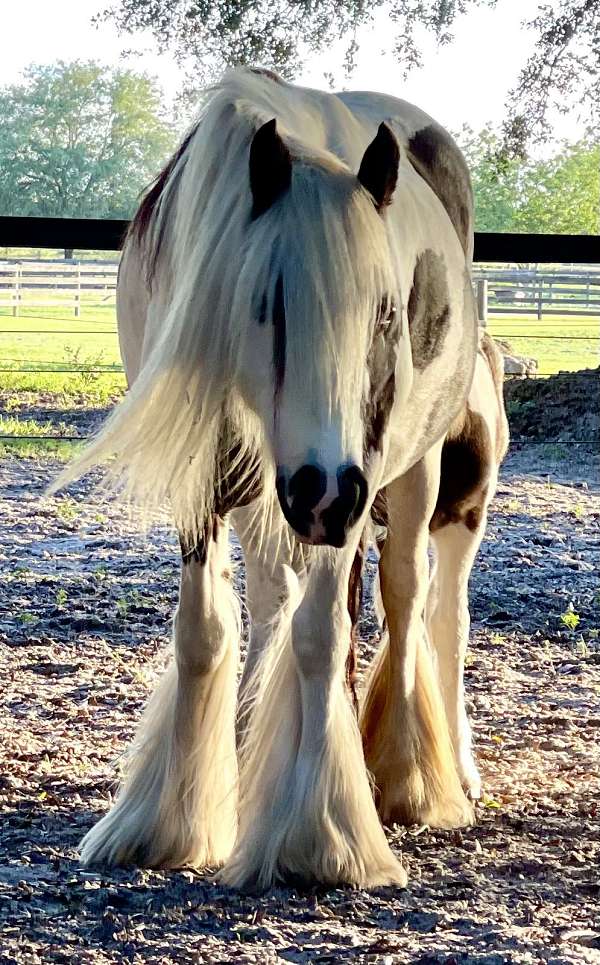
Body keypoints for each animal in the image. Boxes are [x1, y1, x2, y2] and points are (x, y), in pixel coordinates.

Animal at [53, 67, 506, 889]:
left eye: (386, 312)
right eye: (267, 302)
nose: (324, 490)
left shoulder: (354, 489)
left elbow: (324, 634)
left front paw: (318, 837)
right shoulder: (205, 477)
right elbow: (205, 630)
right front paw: (167, 823)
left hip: (417, 480)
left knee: (414, 600)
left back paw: (414, 777)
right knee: (275, 603)